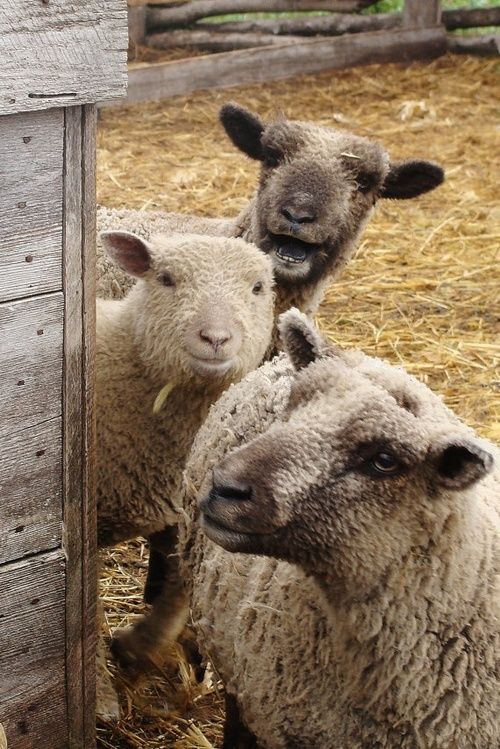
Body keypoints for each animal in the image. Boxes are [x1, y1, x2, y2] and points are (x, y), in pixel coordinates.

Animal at [95, 230, 274, 718]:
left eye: (258, 288)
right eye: (166, 279)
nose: (215, 338)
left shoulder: (185, 517)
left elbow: (178, 591)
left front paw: (139, 646)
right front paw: (100, 693)